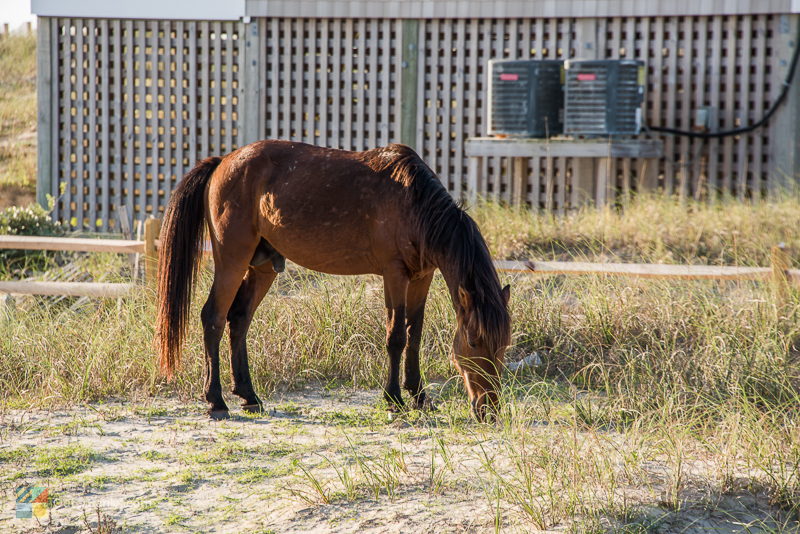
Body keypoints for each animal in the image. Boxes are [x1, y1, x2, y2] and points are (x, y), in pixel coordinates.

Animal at [156, 141, 512, 422]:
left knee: (239, 319)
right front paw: (394, 399)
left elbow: (414, 335)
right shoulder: (394, 274)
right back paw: (216, 401)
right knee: (213, 318)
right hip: (232, 260)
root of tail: (222, 163)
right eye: (475, 342)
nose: (488, 409)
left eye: (503, 345)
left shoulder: (422, 277)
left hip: (263, 267)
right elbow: (396, 336)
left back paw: (248, 396)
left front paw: (419, 396)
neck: (414, 203)